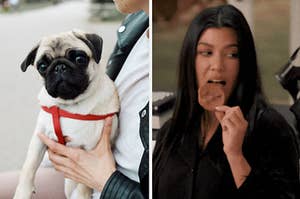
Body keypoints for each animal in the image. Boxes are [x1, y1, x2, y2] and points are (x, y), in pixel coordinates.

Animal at [13, 29, 119, 199]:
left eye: (79, 59)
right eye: (42, 66)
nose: (59, 67)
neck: (70, 105)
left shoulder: (91, 149)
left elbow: (84, 182)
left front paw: (83, 195)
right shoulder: (39, 137)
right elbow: (29, 166)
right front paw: (23, 192)